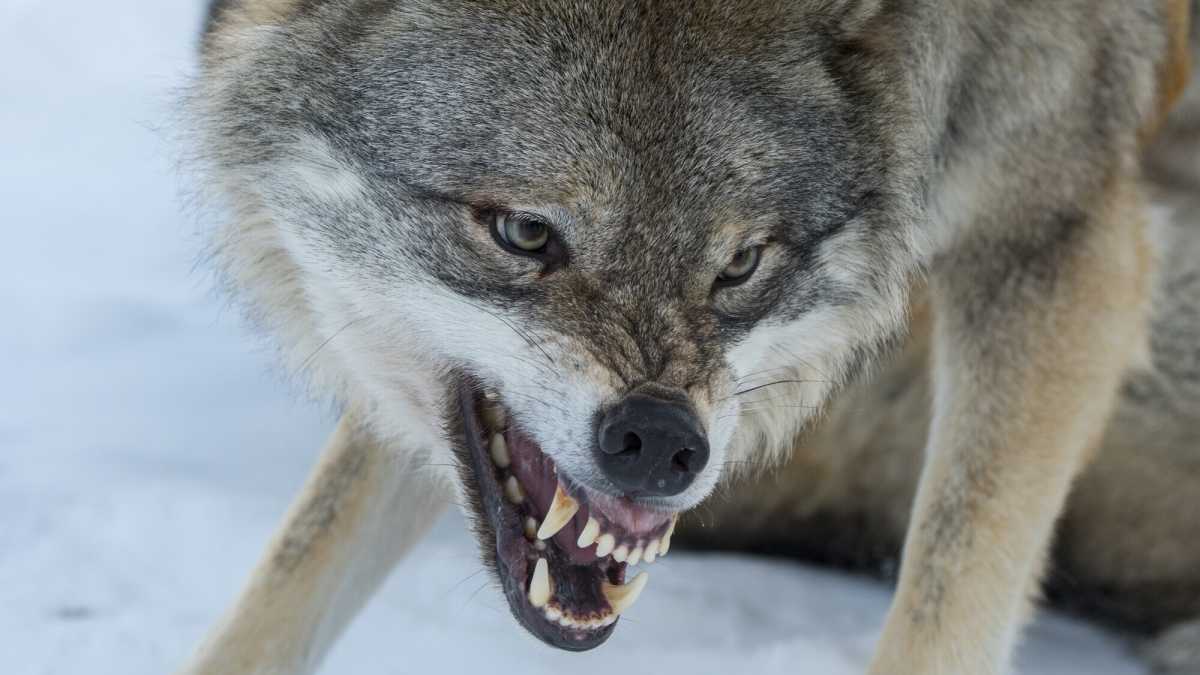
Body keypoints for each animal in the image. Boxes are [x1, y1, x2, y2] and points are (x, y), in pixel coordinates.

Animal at [181, 1, 1196, 673]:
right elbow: (293, 575)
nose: (660, 440)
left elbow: (951, 596)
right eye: (525, 232)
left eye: (740, 262)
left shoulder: (1057, 229)